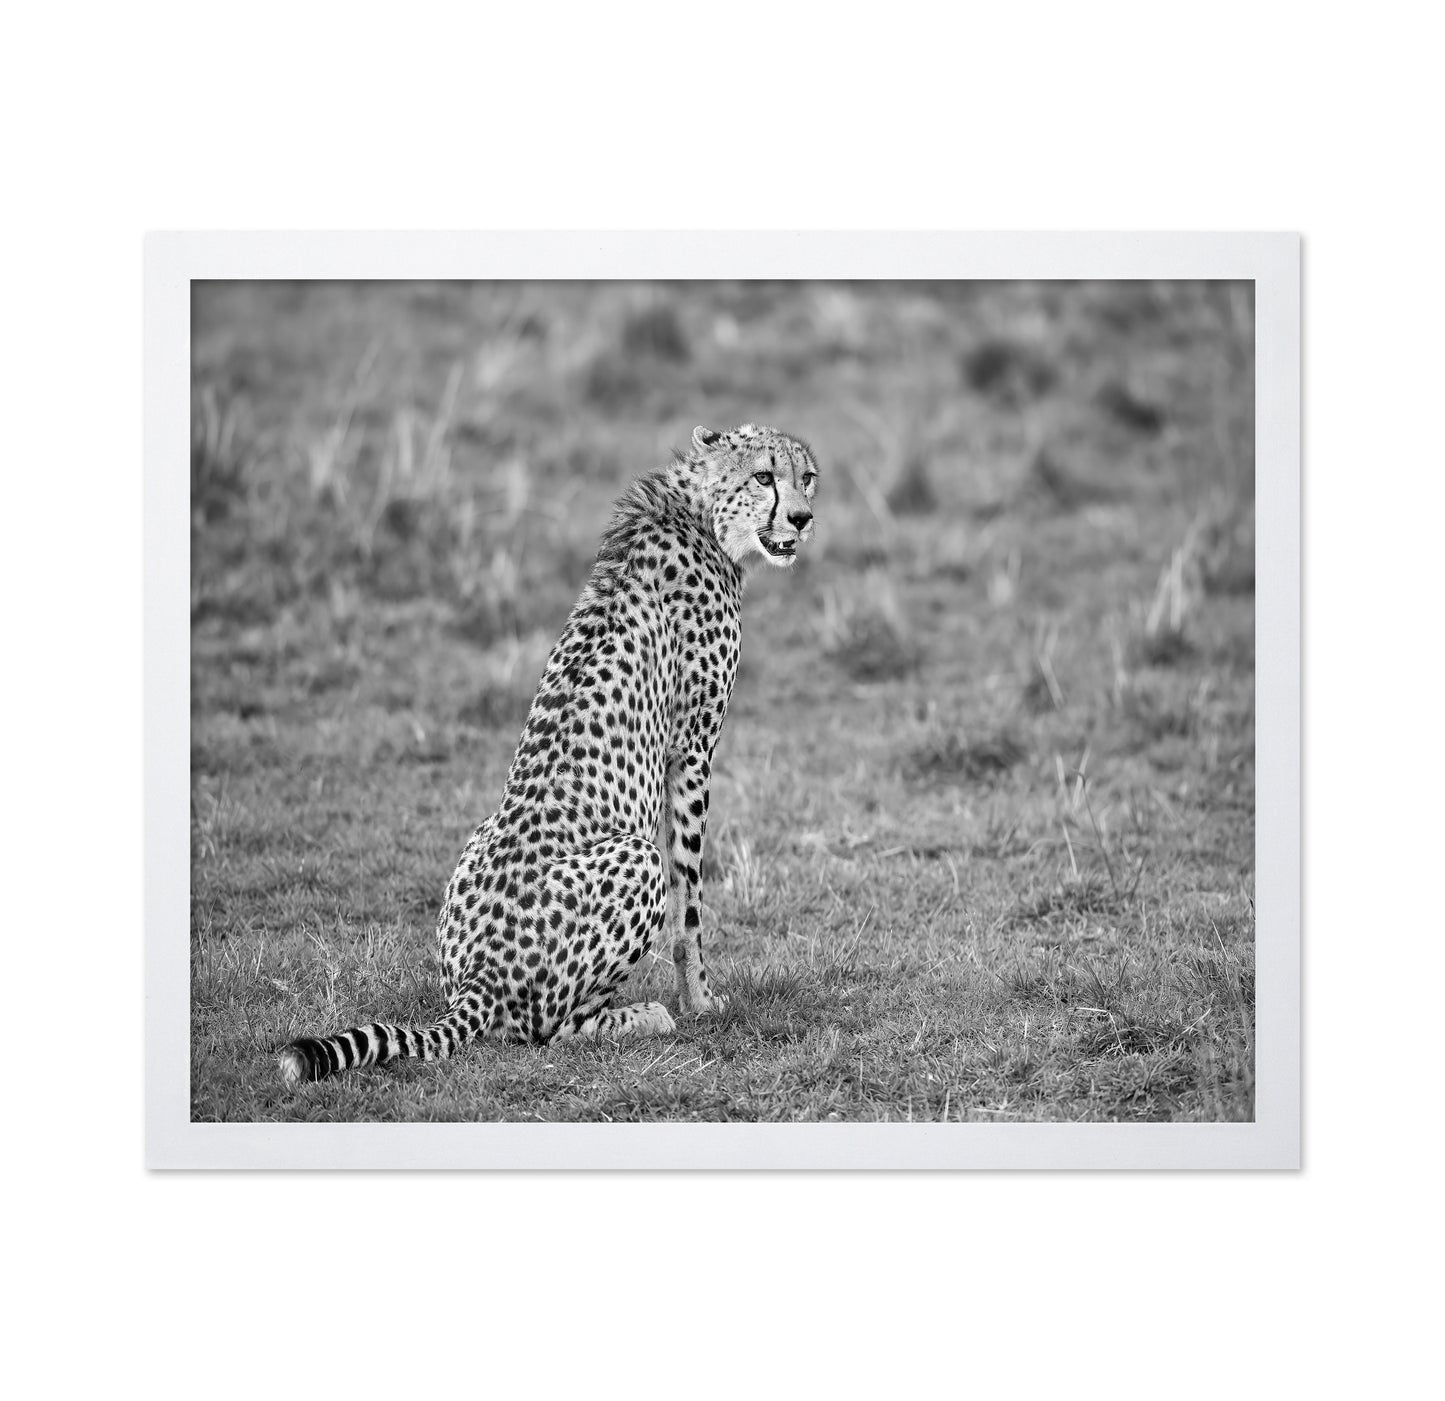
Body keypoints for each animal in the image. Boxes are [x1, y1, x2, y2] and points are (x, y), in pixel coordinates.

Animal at [278, 422, 819, 1085]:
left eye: (806, 477)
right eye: (764, 476)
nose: (802, 517)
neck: (699, 512)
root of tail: (479, 977)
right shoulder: (692, 750)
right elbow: (691, 901)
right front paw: (702, 1001)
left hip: (478, 841)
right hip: (635, 859)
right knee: (550, 1028)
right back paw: (645, 1016)